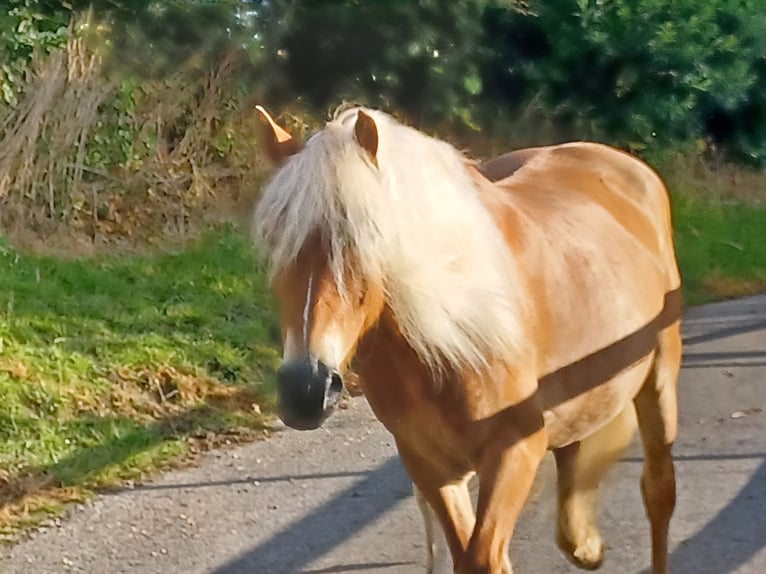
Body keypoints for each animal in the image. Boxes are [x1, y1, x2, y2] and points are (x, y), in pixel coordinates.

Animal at [252, 104, 684, 574]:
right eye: (276, 241)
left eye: (364, 240)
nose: (306, 390)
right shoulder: (431, 465)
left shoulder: (513, 450)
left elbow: (482, 558)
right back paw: (585, 544)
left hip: (659, 380)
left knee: (658, 491)